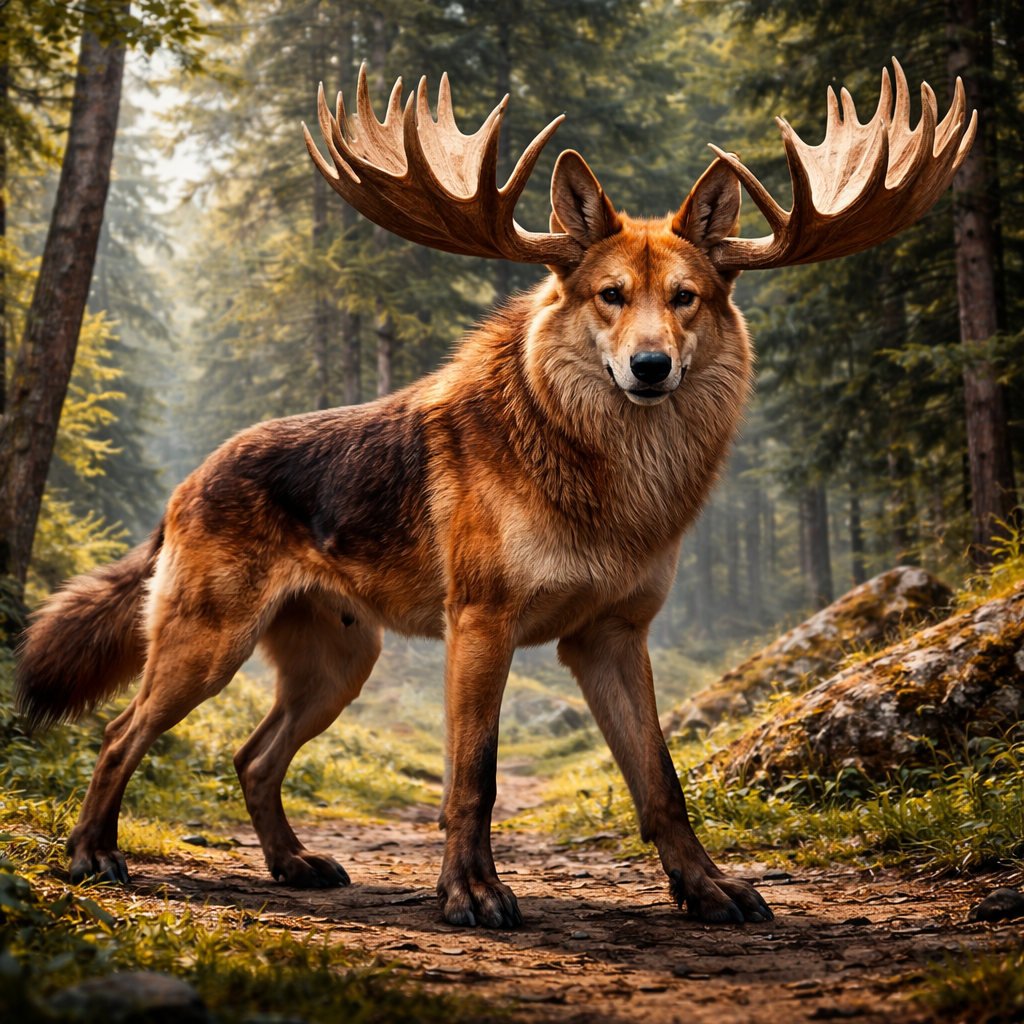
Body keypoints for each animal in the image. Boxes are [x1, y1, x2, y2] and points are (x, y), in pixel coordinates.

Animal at [16, 59, 973, 929]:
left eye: (687, 298)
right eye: (609, 295)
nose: (650, 367)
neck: (603, 480)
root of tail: (190, 481)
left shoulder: (612, 638)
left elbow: (659, 780)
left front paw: (707, 890)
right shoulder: (483, 625)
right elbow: (472, 776)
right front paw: (471, 895)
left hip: (338, 667)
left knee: (253, 758)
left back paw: (293, 865)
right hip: (207, 648)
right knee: (121, 735)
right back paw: (91, 855)